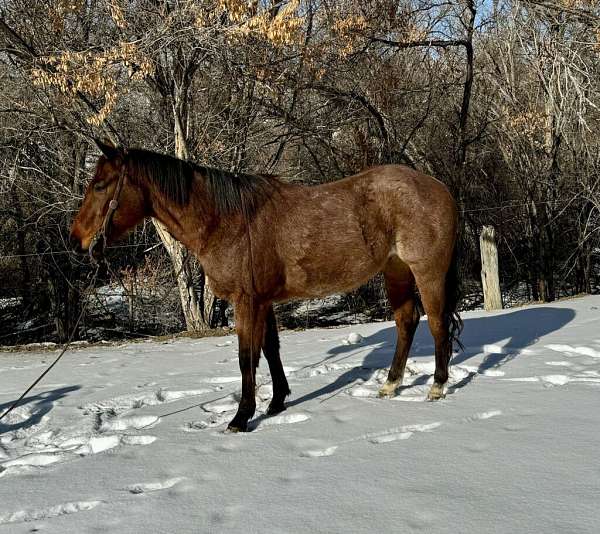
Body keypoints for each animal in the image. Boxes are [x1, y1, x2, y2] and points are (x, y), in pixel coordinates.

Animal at [71, 140, 464, 434]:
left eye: (100, 185)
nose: (77, 240)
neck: (225, 221)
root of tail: (440, 188)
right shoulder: (264, 301)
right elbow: (271, 350)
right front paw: (276, 402)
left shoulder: (247, 301)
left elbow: (247, 357)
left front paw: (241, 417)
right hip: (396, 272)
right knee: (406, 322)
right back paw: (391, 384)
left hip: (426, 273)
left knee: (436, 323)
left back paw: (437, 386)